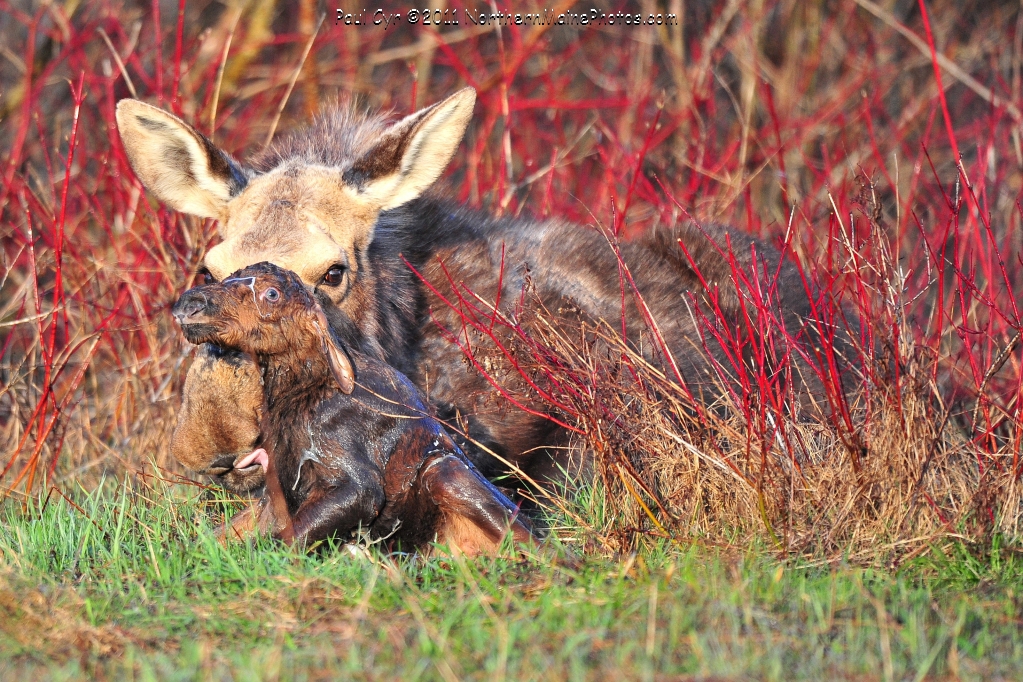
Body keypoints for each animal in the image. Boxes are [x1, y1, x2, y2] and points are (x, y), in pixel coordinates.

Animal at [171, 261, 536, 556]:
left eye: (271, 293)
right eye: (224, 275)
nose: (190, 304)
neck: (291, 396)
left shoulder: (359, 487)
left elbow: (285, 541)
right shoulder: (278, 484)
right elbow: (216, 536)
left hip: (445, 471)